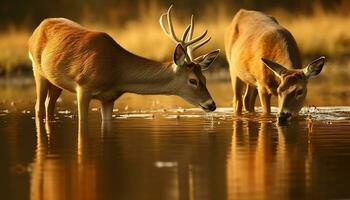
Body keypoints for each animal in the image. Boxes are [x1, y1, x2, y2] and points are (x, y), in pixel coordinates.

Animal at [28, 5, 219, 129]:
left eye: (205, 78)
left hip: (55, 81)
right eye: (193, 80)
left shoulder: (109, 98)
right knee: (39, 107)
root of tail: (38, 27)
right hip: (37, 71)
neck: (116, 70)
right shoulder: (83, 87)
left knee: (49, 106)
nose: (211, 104)